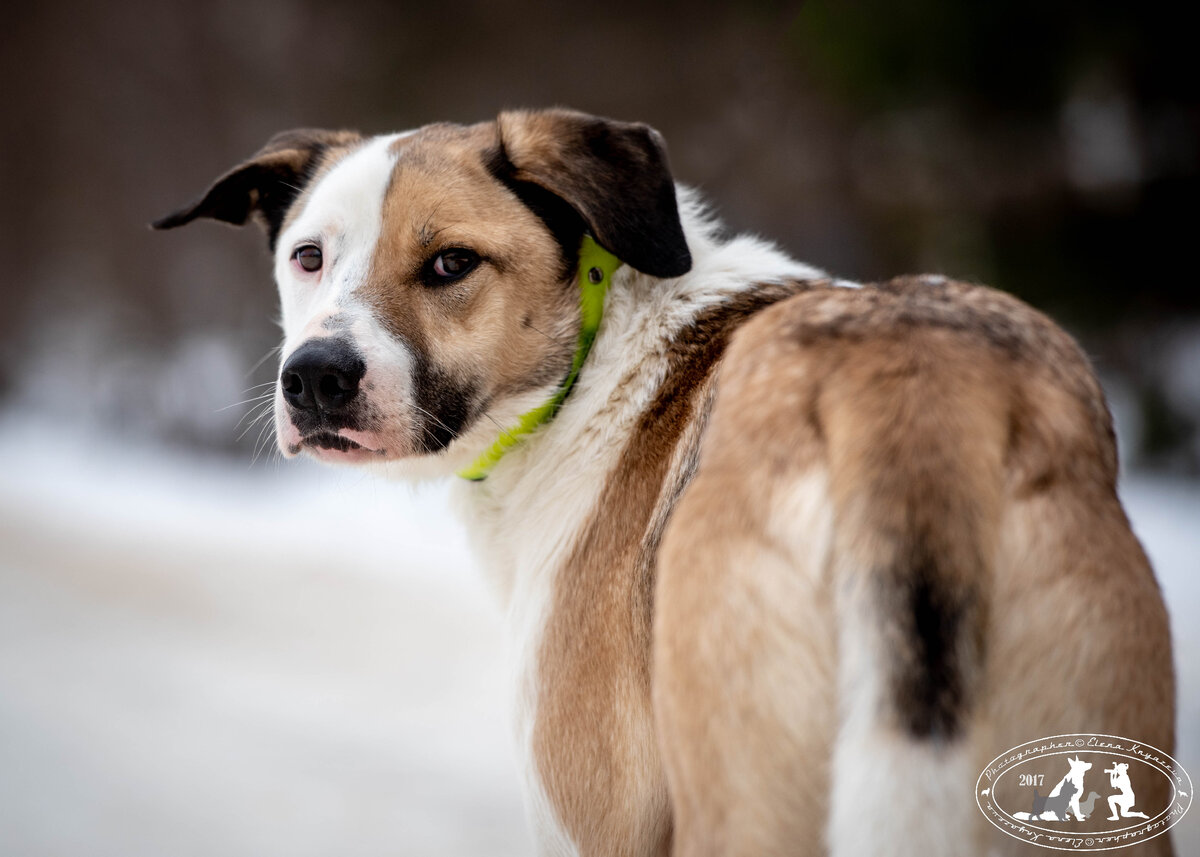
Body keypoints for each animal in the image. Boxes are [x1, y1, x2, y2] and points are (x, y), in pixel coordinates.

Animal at [154, 110, 1176, 849]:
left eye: (450, 263)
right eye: (308, 256)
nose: (315, 378)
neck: (591, 363)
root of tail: (917, 385)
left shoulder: (591, 817)